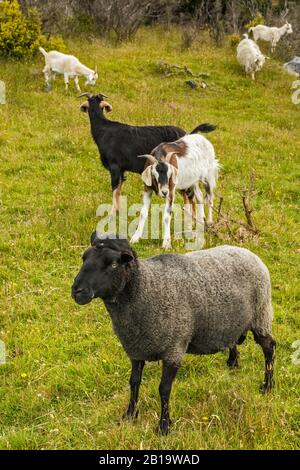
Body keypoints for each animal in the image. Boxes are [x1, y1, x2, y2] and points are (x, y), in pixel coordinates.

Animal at [72, 233, 276, 436]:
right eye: (84, 258)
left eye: (113, 264)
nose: (77, 291)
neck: (146, 287)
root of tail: (249, 253)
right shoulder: (136, 349)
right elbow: (134, 382)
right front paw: (130, 415)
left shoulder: (174, 349)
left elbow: (164, 389)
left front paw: (164, 426)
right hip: (231, 320)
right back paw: (232, 363)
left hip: (261, 314)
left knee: (269, 347)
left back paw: (267, 386)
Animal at [79, 92, 216, 214]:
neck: (103, 130)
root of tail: (189, 135)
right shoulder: (122, 170)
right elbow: (119, 191)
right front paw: (118, 212)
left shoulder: (115, 167)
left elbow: (114, 190)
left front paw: (111, 214)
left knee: (190, 196)